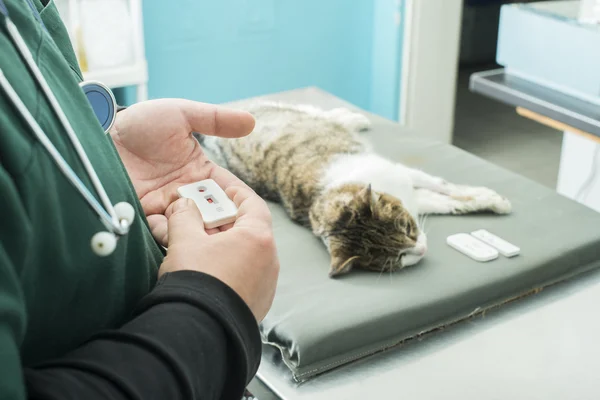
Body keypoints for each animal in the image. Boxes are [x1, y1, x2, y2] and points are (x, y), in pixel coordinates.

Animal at [198, 102, 510, 278]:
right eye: (397, 258)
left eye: (406, 227)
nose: (421, 249)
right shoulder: (412, 194)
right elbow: (444, 201)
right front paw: (484, 200)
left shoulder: (403, 174)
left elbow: (446, 188)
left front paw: (493, 200)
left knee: (316, 111)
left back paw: (352, 118)